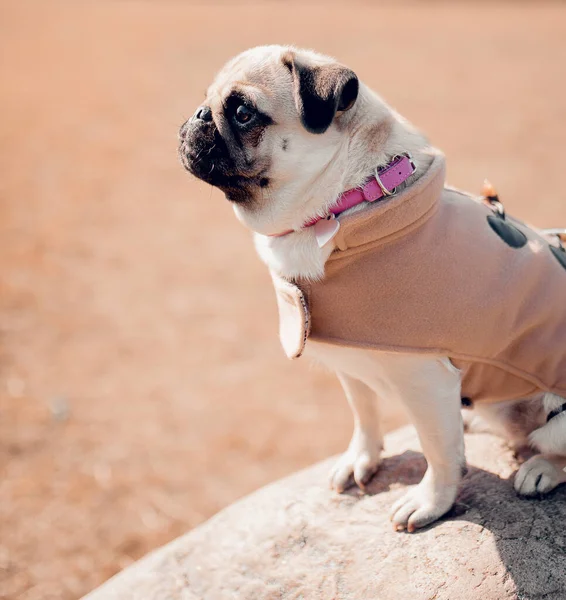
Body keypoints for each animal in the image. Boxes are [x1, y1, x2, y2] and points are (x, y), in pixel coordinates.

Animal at [180, 44, 566, 528]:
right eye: (206, 100)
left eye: (243, 113)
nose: (197, 114)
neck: (343, 206)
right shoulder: (353, 363)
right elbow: (364, 416)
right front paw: (361, 459)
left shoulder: (426, 381)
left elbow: (439, 452)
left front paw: (431, 502)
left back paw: (540, 468)